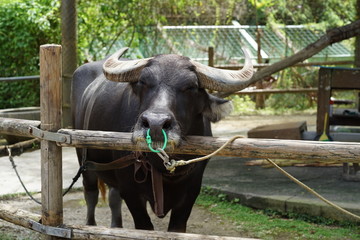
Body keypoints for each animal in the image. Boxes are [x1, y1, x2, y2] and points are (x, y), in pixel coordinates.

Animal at [71, 47, 253, 232]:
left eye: (191, 87)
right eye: (143, 82)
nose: (155, 124)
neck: (165, 169)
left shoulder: (191, 192)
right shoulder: (131, 192)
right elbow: (144, 226)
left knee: (113, 196)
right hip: (85, 161)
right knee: (91, 194)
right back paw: (90, 224)